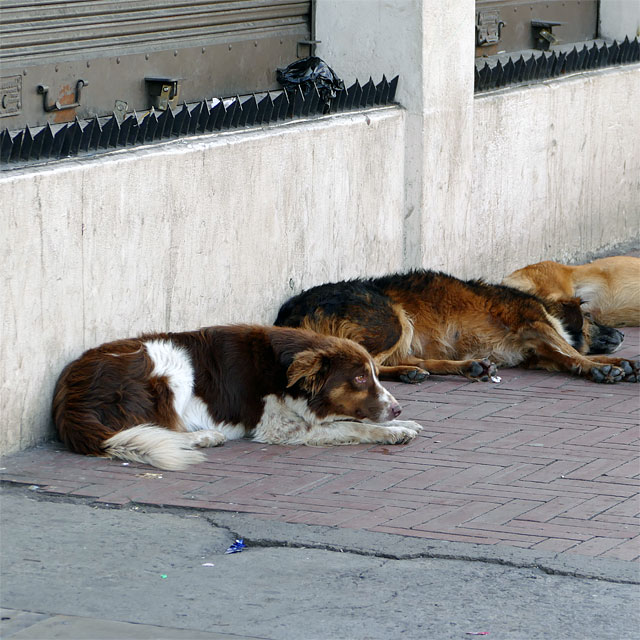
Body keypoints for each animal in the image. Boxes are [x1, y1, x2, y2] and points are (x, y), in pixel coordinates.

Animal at [51, 324, 420, 470]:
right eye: (359, 378)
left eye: (374, 374)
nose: (398, 409)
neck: (282, 372)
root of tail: (68, 398)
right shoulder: (279, 429)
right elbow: (352, 427)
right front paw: (393, 432)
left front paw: (405, 424)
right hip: (169, 369)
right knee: (148, 429)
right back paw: (204, 436)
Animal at [276, 270, 640, 384]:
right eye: (591, 319)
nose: (623, 334)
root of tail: (289, 310)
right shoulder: (533, 323)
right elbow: (574, 351)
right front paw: (604, 368)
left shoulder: (539, 353)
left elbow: (569, 356)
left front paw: (620, 363)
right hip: (393, 321)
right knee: (370, 365)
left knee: (403, 361)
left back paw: (466, 367)